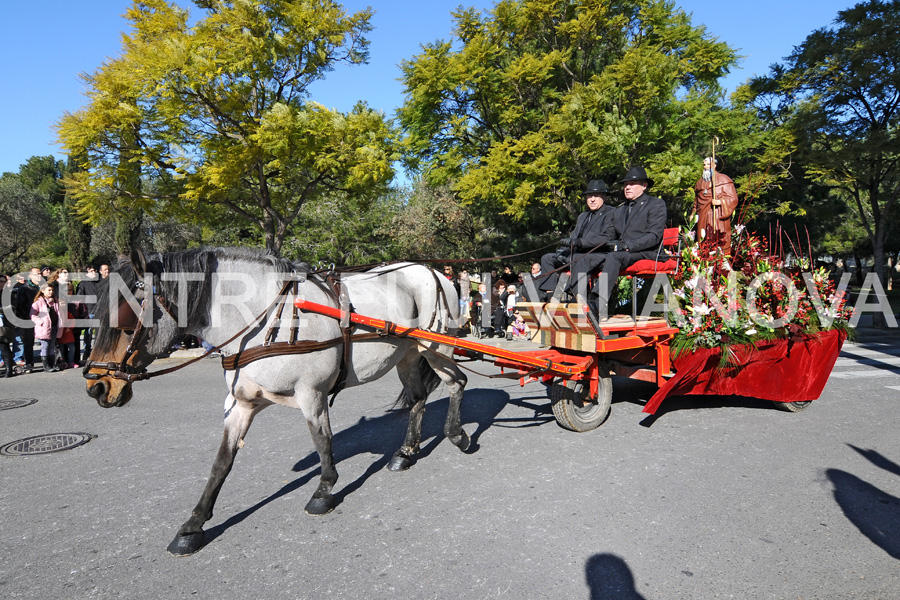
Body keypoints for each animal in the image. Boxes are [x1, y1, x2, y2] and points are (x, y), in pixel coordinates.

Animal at [84, 246, 472, 556]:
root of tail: (433, 271)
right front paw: (193, 525)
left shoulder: (312, 394)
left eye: (124, 314)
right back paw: (405, 453)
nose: (97, 386)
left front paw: (324, 491)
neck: (265, 319)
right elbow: (221, 463)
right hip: (408, 355)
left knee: (458, 382)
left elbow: (322, 441)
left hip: (436, 347)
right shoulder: (240, 404)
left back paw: (457, 434)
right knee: (418, 399)